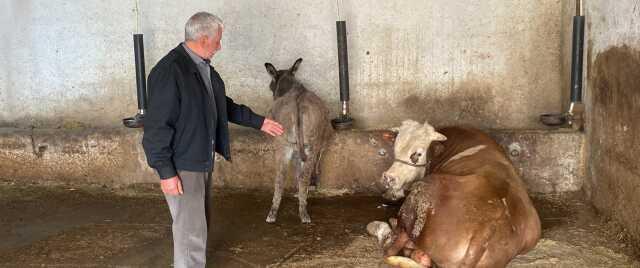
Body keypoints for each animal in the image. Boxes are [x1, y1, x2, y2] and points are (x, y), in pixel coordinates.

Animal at [370, 120, 540, 266]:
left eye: (417, 154)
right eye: (395, 149)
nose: (389, 177)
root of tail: (488, 226)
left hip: (422, 192)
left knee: (393, 246)